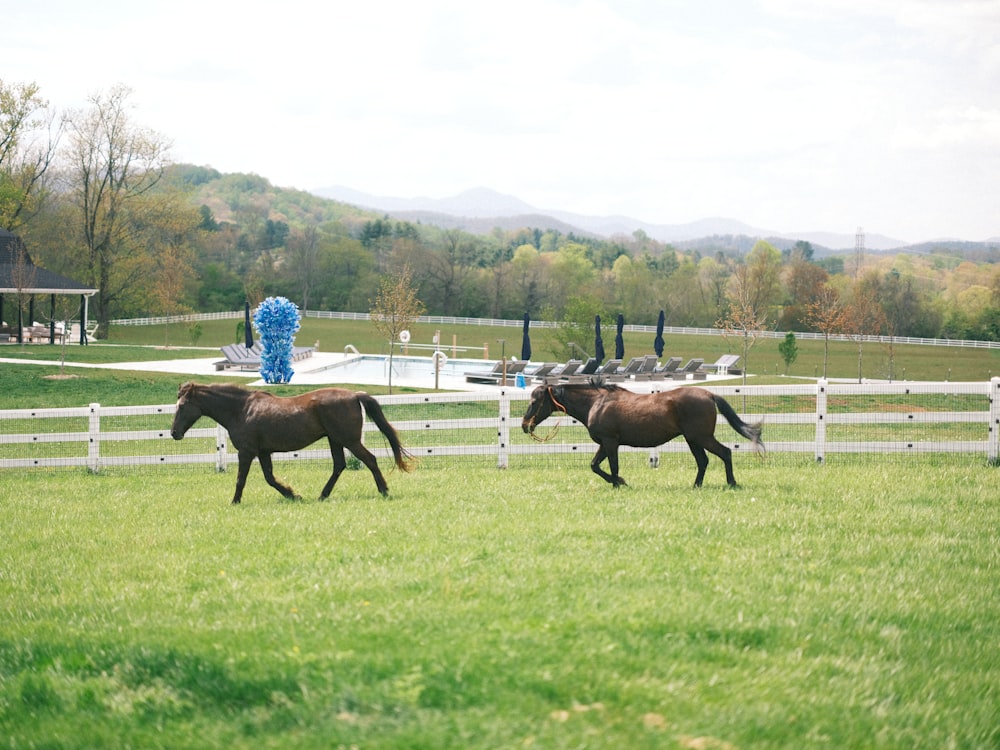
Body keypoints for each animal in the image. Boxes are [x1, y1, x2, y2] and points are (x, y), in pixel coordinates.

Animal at [172, 382, 414, 506]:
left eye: (182, 406)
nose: (174, 433)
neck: (242, 409)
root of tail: (355, 395)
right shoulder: (263, 452)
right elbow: (270, 478)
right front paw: (293, 495)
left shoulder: (247, 452)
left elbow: (241, 479)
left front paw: (235, 502)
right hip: (335, 440)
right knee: (339, 465)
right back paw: (322, 496)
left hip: (349, 440)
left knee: (369, 460)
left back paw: (384, 491)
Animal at [520, 384, 760, 490]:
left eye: (534, 401)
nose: (525, 425)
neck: (596, 403)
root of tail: (710, 395)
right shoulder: (604, 443)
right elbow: (595, 466)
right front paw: (619, 482)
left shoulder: (610, 442)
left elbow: (612, 466)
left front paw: (618, 483)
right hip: (693, 440)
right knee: (703, 461)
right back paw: (696, 486)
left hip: (701, 437)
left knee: (725, 453)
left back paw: (732, 483)